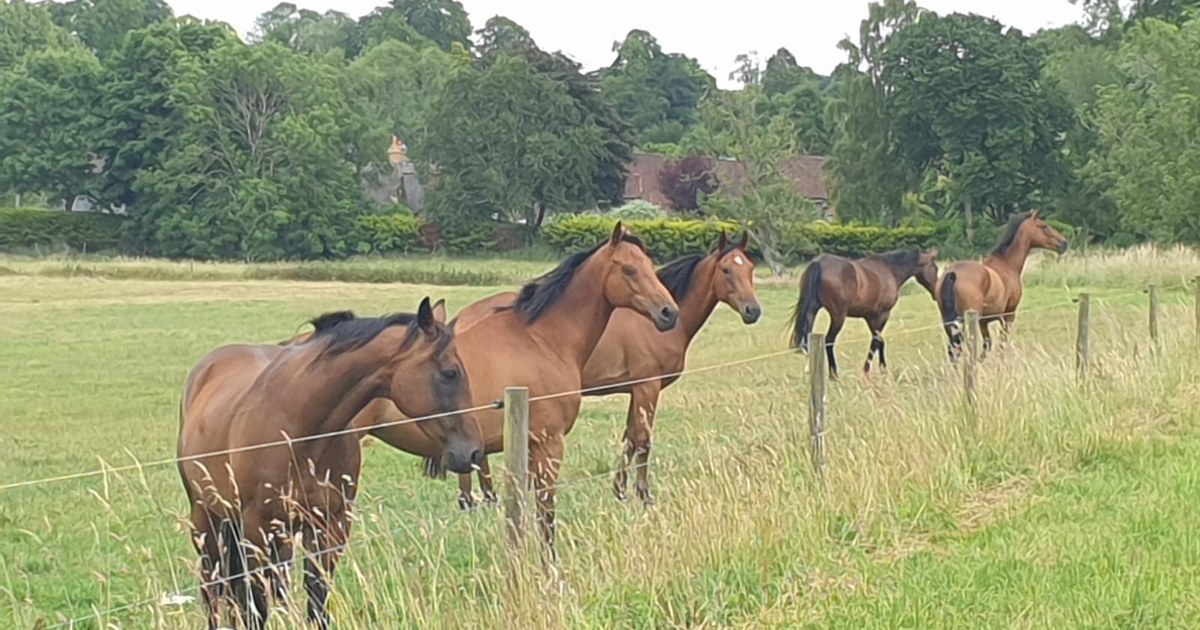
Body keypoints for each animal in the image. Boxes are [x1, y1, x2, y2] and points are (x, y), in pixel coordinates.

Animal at [178, 297, 483, 630]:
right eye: (450, 373)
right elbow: (256, 607)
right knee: (213, 590)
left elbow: (317, 601)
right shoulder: (257, 529)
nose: (473, 452)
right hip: (207, 520)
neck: (299, 430)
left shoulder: (330, 527)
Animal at [442, 231, 761, 508]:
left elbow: (629, 439)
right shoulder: (648, 386)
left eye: (750, 268)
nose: (753, 311)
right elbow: (643, 440)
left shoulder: (636, 390)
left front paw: (620, 490)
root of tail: (462, 318)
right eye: (726, 270)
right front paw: (643, 494)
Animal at [789, 248, 940, 377]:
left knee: (808, 341)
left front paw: (882, 369)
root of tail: (819, 263)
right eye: (935, 268)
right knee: (829, 341)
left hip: (812, 311)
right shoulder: (883, 314)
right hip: (838, 316)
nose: (937, 291)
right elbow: (876, 341)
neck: (889, 270)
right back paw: (834, 374)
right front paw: (868, 369)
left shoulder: (870, 316)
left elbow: (879, 341)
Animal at [936, 209, 1069, 361]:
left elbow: (987, 345)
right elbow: (1001, 343)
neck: (1007, 264)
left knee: (954, 350)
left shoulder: (984, 322)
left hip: (950, 323)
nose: (1064, 243)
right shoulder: (1008, 315)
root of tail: (953, 273)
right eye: (1044, 226)